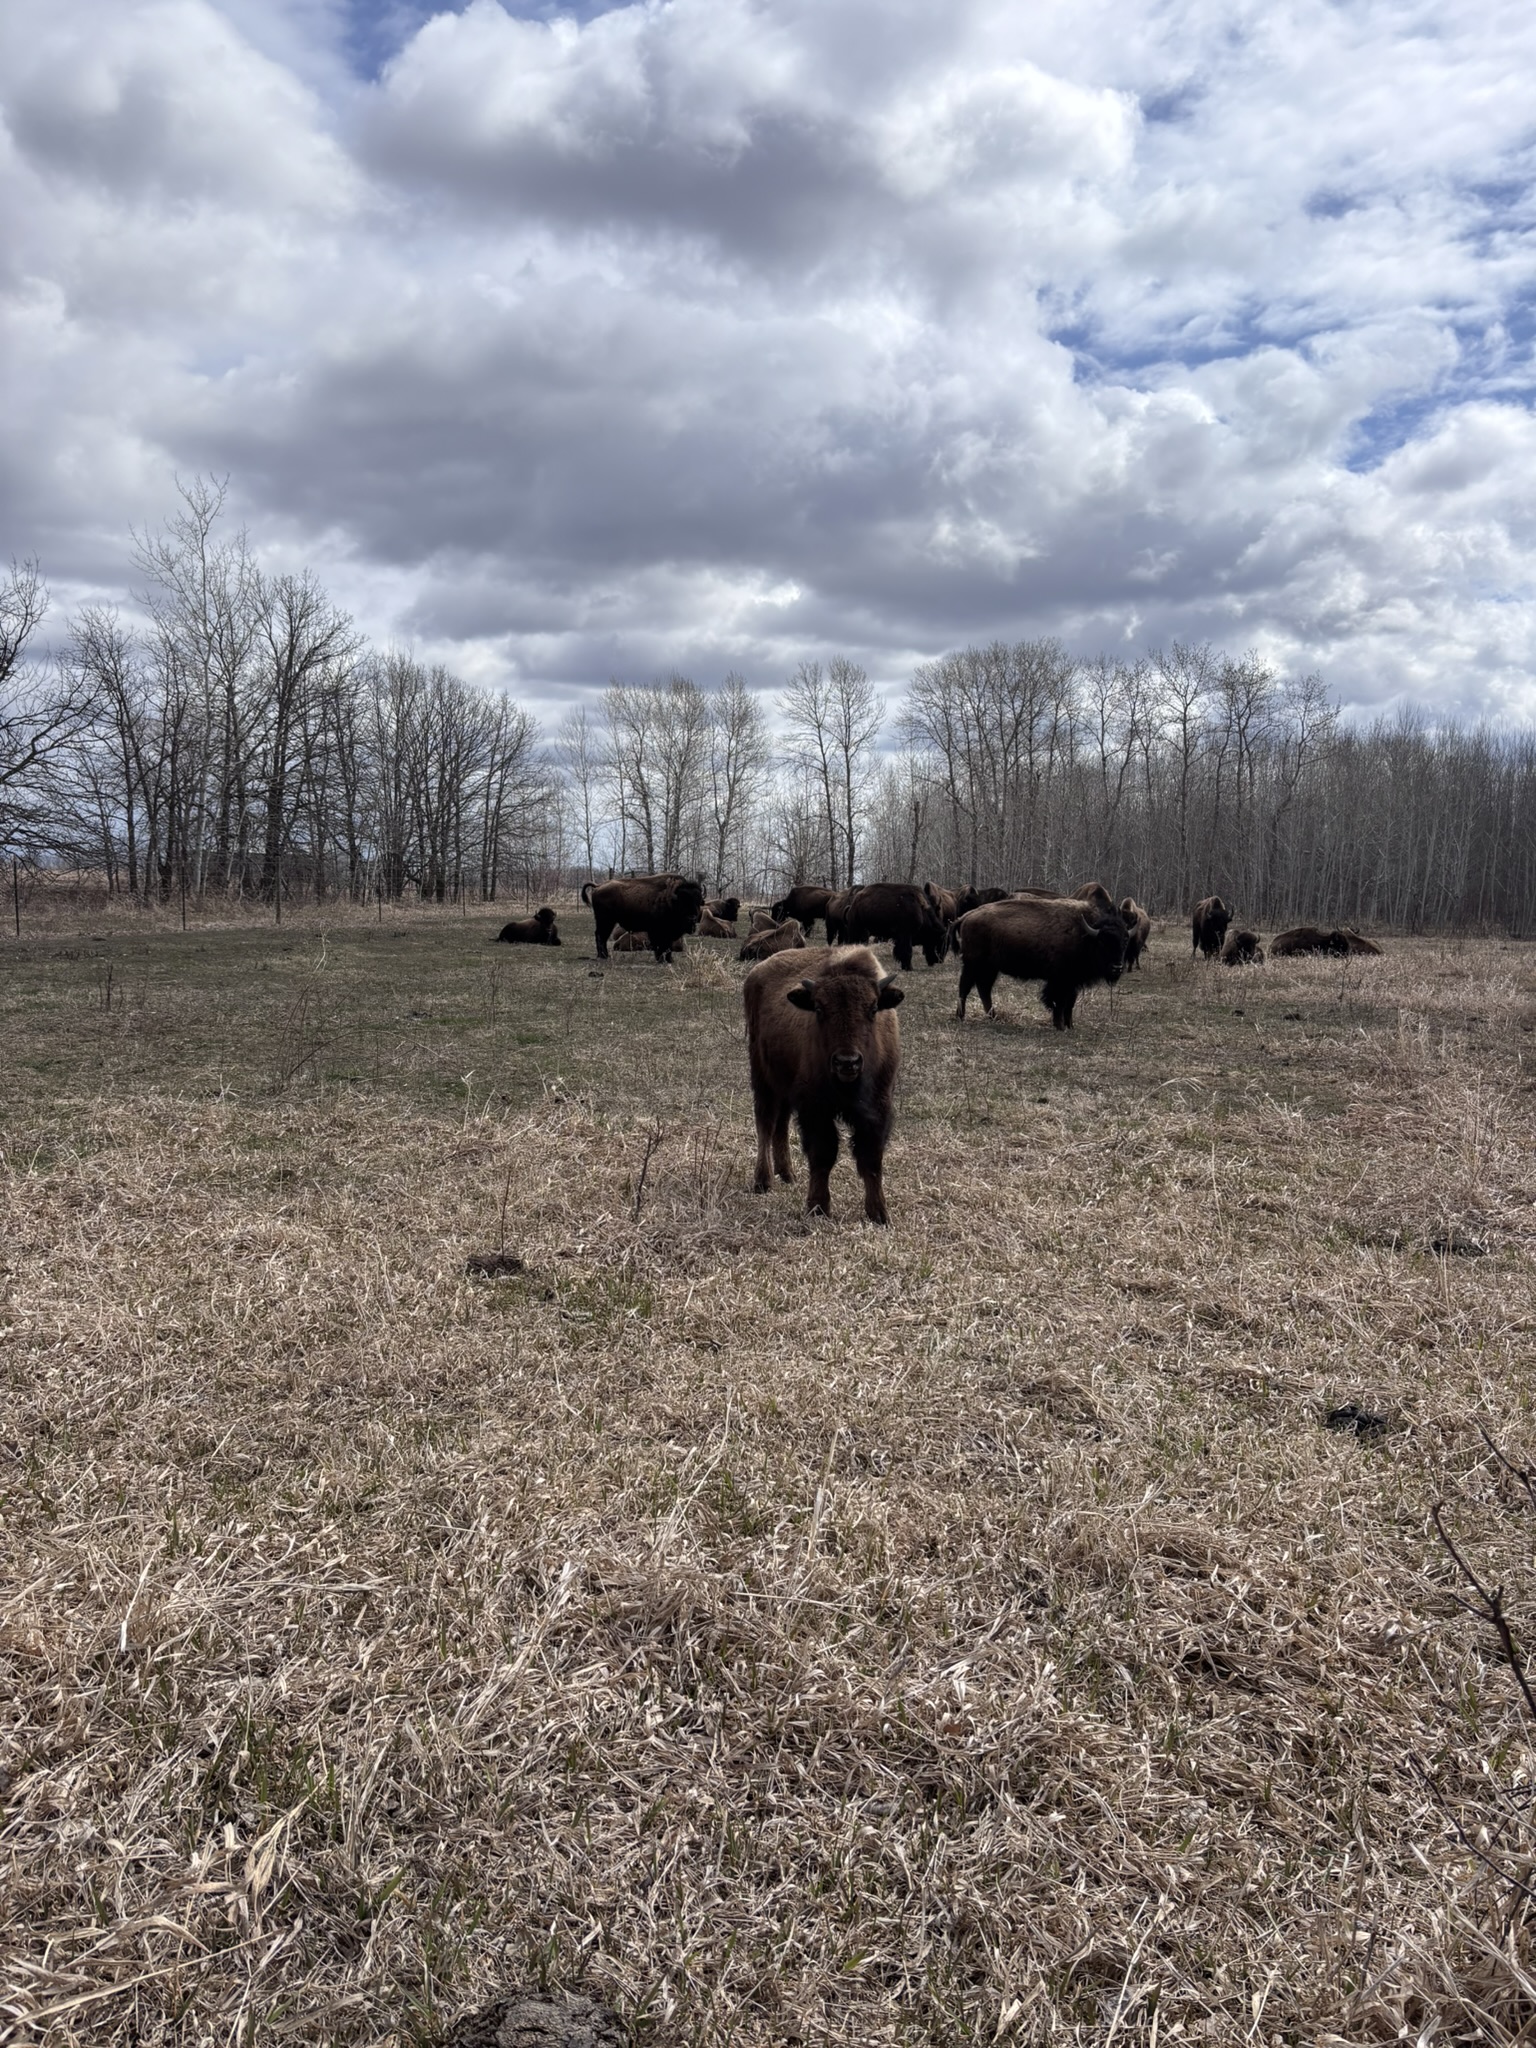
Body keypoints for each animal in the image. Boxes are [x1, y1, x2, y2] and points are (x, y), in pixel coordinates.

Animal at [744, 945, 903, 1224]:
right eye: (819, 1009)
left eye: (873, 1008)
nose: (847, 1062)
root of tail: (756, 972)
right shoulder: (815, 1108)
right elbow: (823, 1154)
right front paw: (818, 1207)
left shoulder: (877, 1108)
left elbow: (871, 1157)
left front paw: (879, 1213)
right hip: (763, 1079)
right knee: (766, 1123)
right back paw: (763, 1181)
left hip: (784, 1086)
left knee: (780, 1125)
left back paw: (787, 1174)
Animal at [955, 894, 1130, 1029]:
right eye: (1103, 942)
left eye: (1124, 942)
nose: (1117, 968)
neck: (1085, 935)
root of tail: (968, 915)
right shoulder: (1060, 981)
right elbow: (1059, 1002)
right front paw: (1060, 1026)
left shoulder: (1072, 982)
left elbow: (1070, 1003)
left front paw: (1070, 1026)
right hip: (973, 965)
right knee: (965, 988)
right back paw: (960, 1016)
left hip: (990, 968)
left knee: (984, 989)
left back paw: (993, 1017)